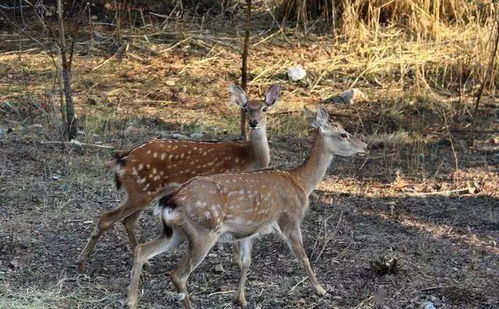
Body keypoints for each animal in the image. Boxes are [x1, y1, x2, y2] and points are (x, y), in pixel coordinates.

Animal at [77, 83, 282, 268]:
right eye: (245, 109)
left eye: (264, 108)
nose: (253, 123)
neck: (249, 157)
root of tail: (123, 159)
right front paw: (236, 260)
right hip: (140, 191)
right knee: (107, 218)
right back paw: (82, 261)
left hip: (143, 191)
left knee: (128, 220)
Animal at [125, 104, 368, 306]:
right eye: (343, 134)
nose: (365, 146)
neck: (299, 182)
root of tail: (169, 201)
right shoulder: (289, 219)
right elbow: (303, 257)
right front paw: (321, 290)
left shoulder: (249, 229)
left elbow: (246, 262)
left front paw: (240, 299)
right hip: (203, 231)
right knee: (178, 274)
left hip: (175, 232)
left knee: (142, 250)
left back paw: (131, 301)